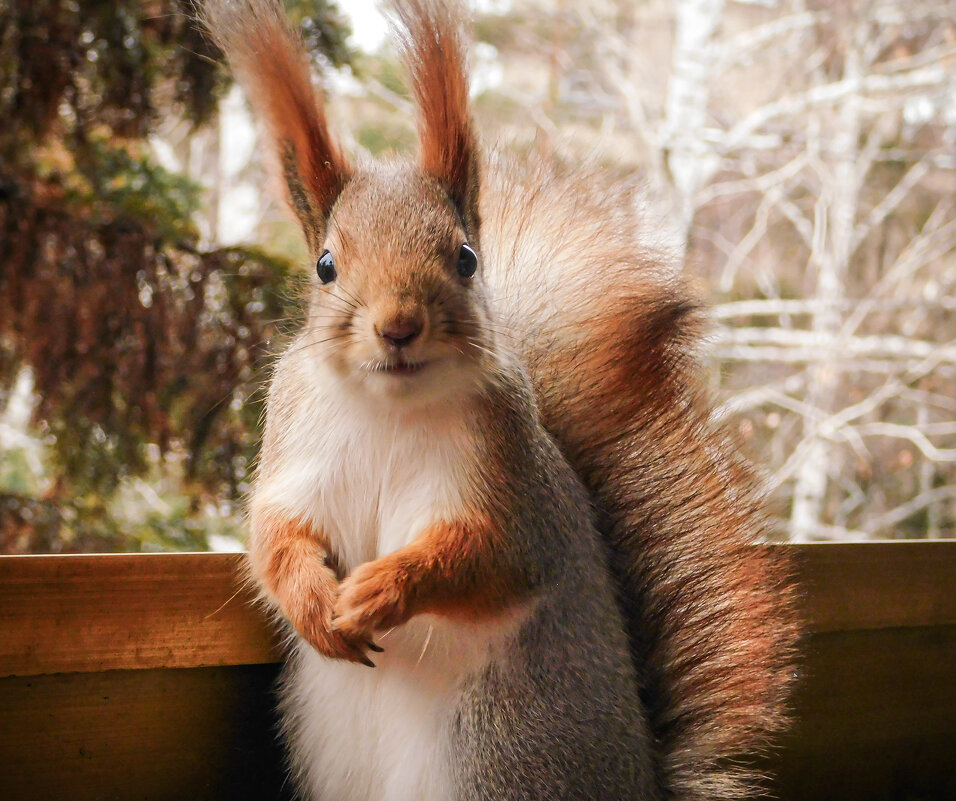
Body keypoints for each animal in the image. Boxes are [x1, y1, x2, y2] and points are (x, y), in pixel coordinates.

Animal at [204, 1, 800, 800]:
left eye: (465, 257)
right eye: (326, 265)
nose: (398, 326)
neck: (390, 407)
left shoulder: (510, 486)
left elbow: (484, 559)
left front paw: (381, 590)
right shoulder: (294, 450)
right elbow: (274, 540)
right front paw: (314, 603)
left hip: (501, 760)